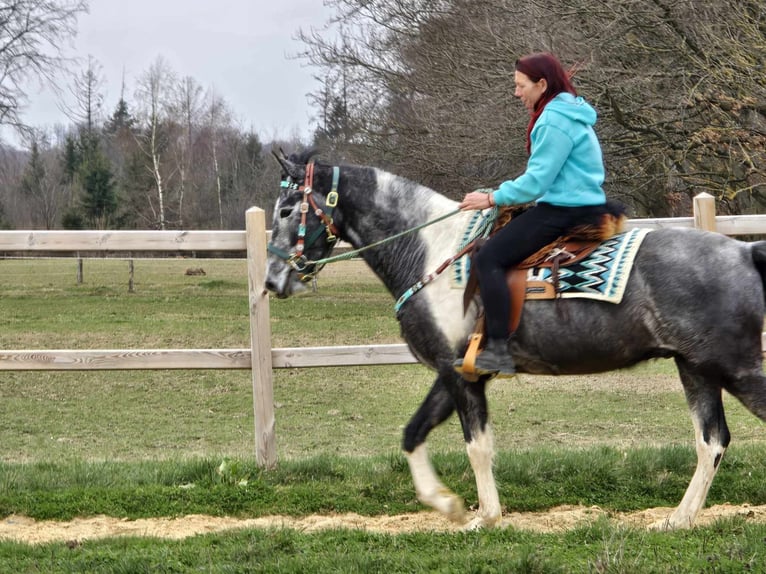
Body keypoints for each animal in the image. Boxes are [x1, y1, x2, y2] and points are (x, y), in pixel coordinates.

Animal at [265, 148, 766, 530]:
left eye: (288, 210)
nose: (271, 281)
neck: (432, 252)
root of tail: (744, 251)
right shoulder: (454, 372)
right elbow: (413, 433)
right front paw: (447, 505)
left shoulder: (461, 378)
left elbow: (477, 447)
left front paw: (483, 517)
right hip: (696, 368)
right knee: (711, 441)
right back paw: (676, 519)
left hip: (736, 369)